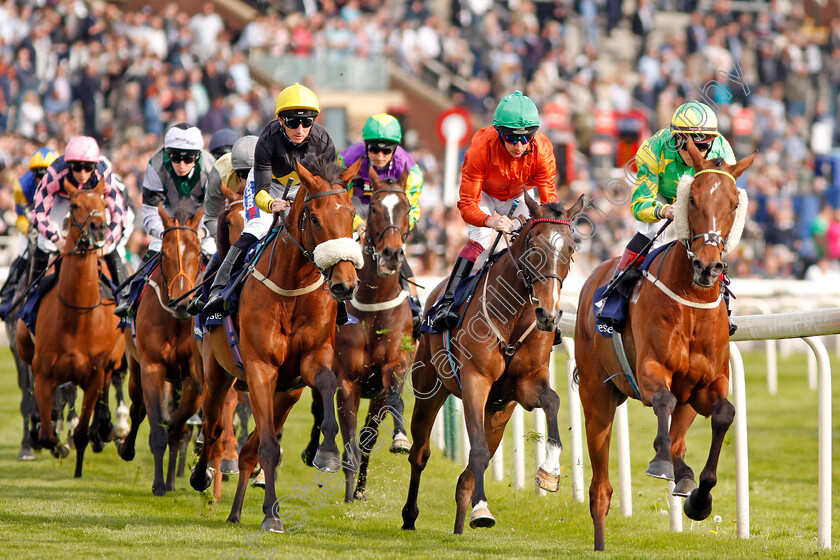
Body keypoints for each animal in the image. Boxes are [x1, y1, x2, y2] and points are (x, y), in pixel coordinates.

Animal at [14, 179, 124, 476]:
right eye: (75, 205)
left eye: (103, 203)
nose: (98, 228)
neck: (77, 317)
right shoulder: (44, 373)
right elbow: (47, 433)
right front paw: (53, 442)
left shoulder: (95, 376)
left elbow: (82, 431)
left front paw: (82, 457)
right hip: (25, 348)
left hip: (115, 359)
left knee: (111, 383)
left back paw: (105, 429)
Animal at [118, 202, 205, 494]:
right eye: (165, 253)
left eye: (198, 252)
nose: (182, 303)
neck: (175, 321)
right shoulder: (152, 368)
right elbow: (156, 430)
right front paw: (157, 485)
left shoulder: (193, 377)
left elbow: (177, 428)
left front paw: (169, 481)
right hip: (135, 370)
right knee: (137, 409)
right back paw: (125, 448)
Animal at [194, 155, 364, 532]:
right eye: (314, 218)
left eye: (351, 214)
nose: (345, 284)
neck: (291, 288)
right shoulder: (260, 369)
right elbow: (270, 448)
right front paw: (272, 515)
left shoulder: (312, 361)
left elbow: (327, 382)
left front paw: (327, 453)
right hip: (218, 375)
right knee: (213, 426)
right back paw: (202, 477)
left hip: (286, 394)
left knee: (247, 450)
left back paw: (236, 510)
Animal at [400, 192, 584, 532]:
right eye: (534, 248)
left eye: (571, 249)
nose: (549, 315)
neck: (514, 315)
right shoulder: (475, 381)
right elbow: (478, 451)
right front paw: (483, 509)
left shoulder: (523, 386)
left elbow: (552, 401)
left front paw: (549, 471)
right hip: (429, 390)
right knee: (420, 453)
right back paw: (410, 515)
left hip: (499, 412)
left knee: (468, 472)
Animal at [576, 140, 756, 552]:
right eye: (692, 200)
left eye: (734, 204)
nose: (708, 266)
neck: (691, 300)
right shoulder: (650, 371)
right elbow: (662, 400)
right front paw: (659, 463)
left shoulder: (708, 383)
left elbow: (724, 414)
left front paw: (699, 499)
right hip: (597, 396)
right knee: (601, 485)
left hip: (686, 395)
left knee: (679, 437)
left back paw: (684, 474)